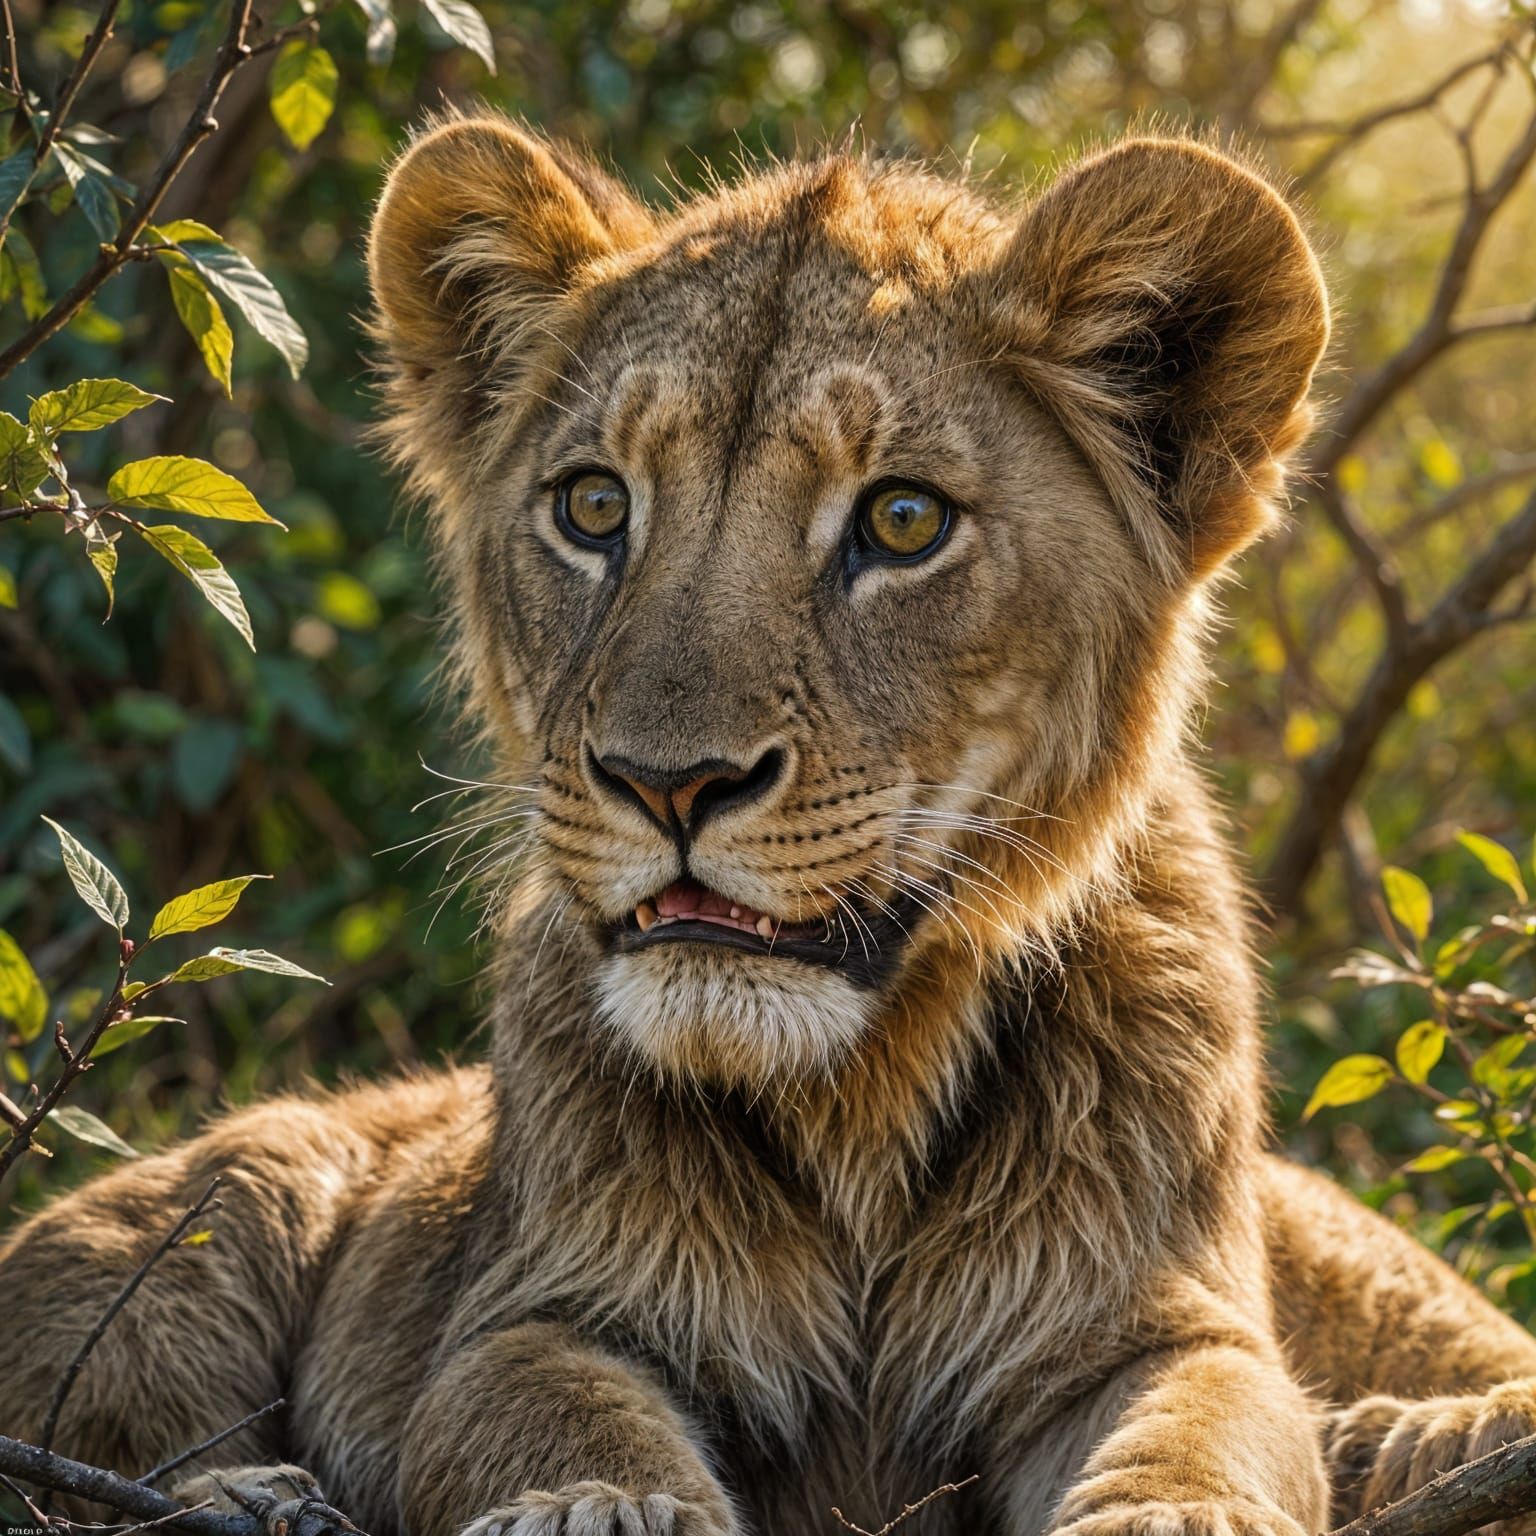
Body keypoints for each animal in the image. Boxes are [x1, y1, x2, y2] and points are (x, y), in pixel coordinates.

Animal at [4, 119, 1535, 1536]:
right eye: (594, 505)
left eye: (903, 520)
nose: (668, 784)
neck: (855, 1100)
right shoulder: (535, 1307)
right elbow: (546, 1408)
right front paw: (596, 1510)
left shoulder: (1157, 1322)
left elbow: (1210, 1428)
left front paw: (1185, 1508)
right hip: (222, 1205)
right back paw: (258, 1492)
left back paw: (1423, 1436)